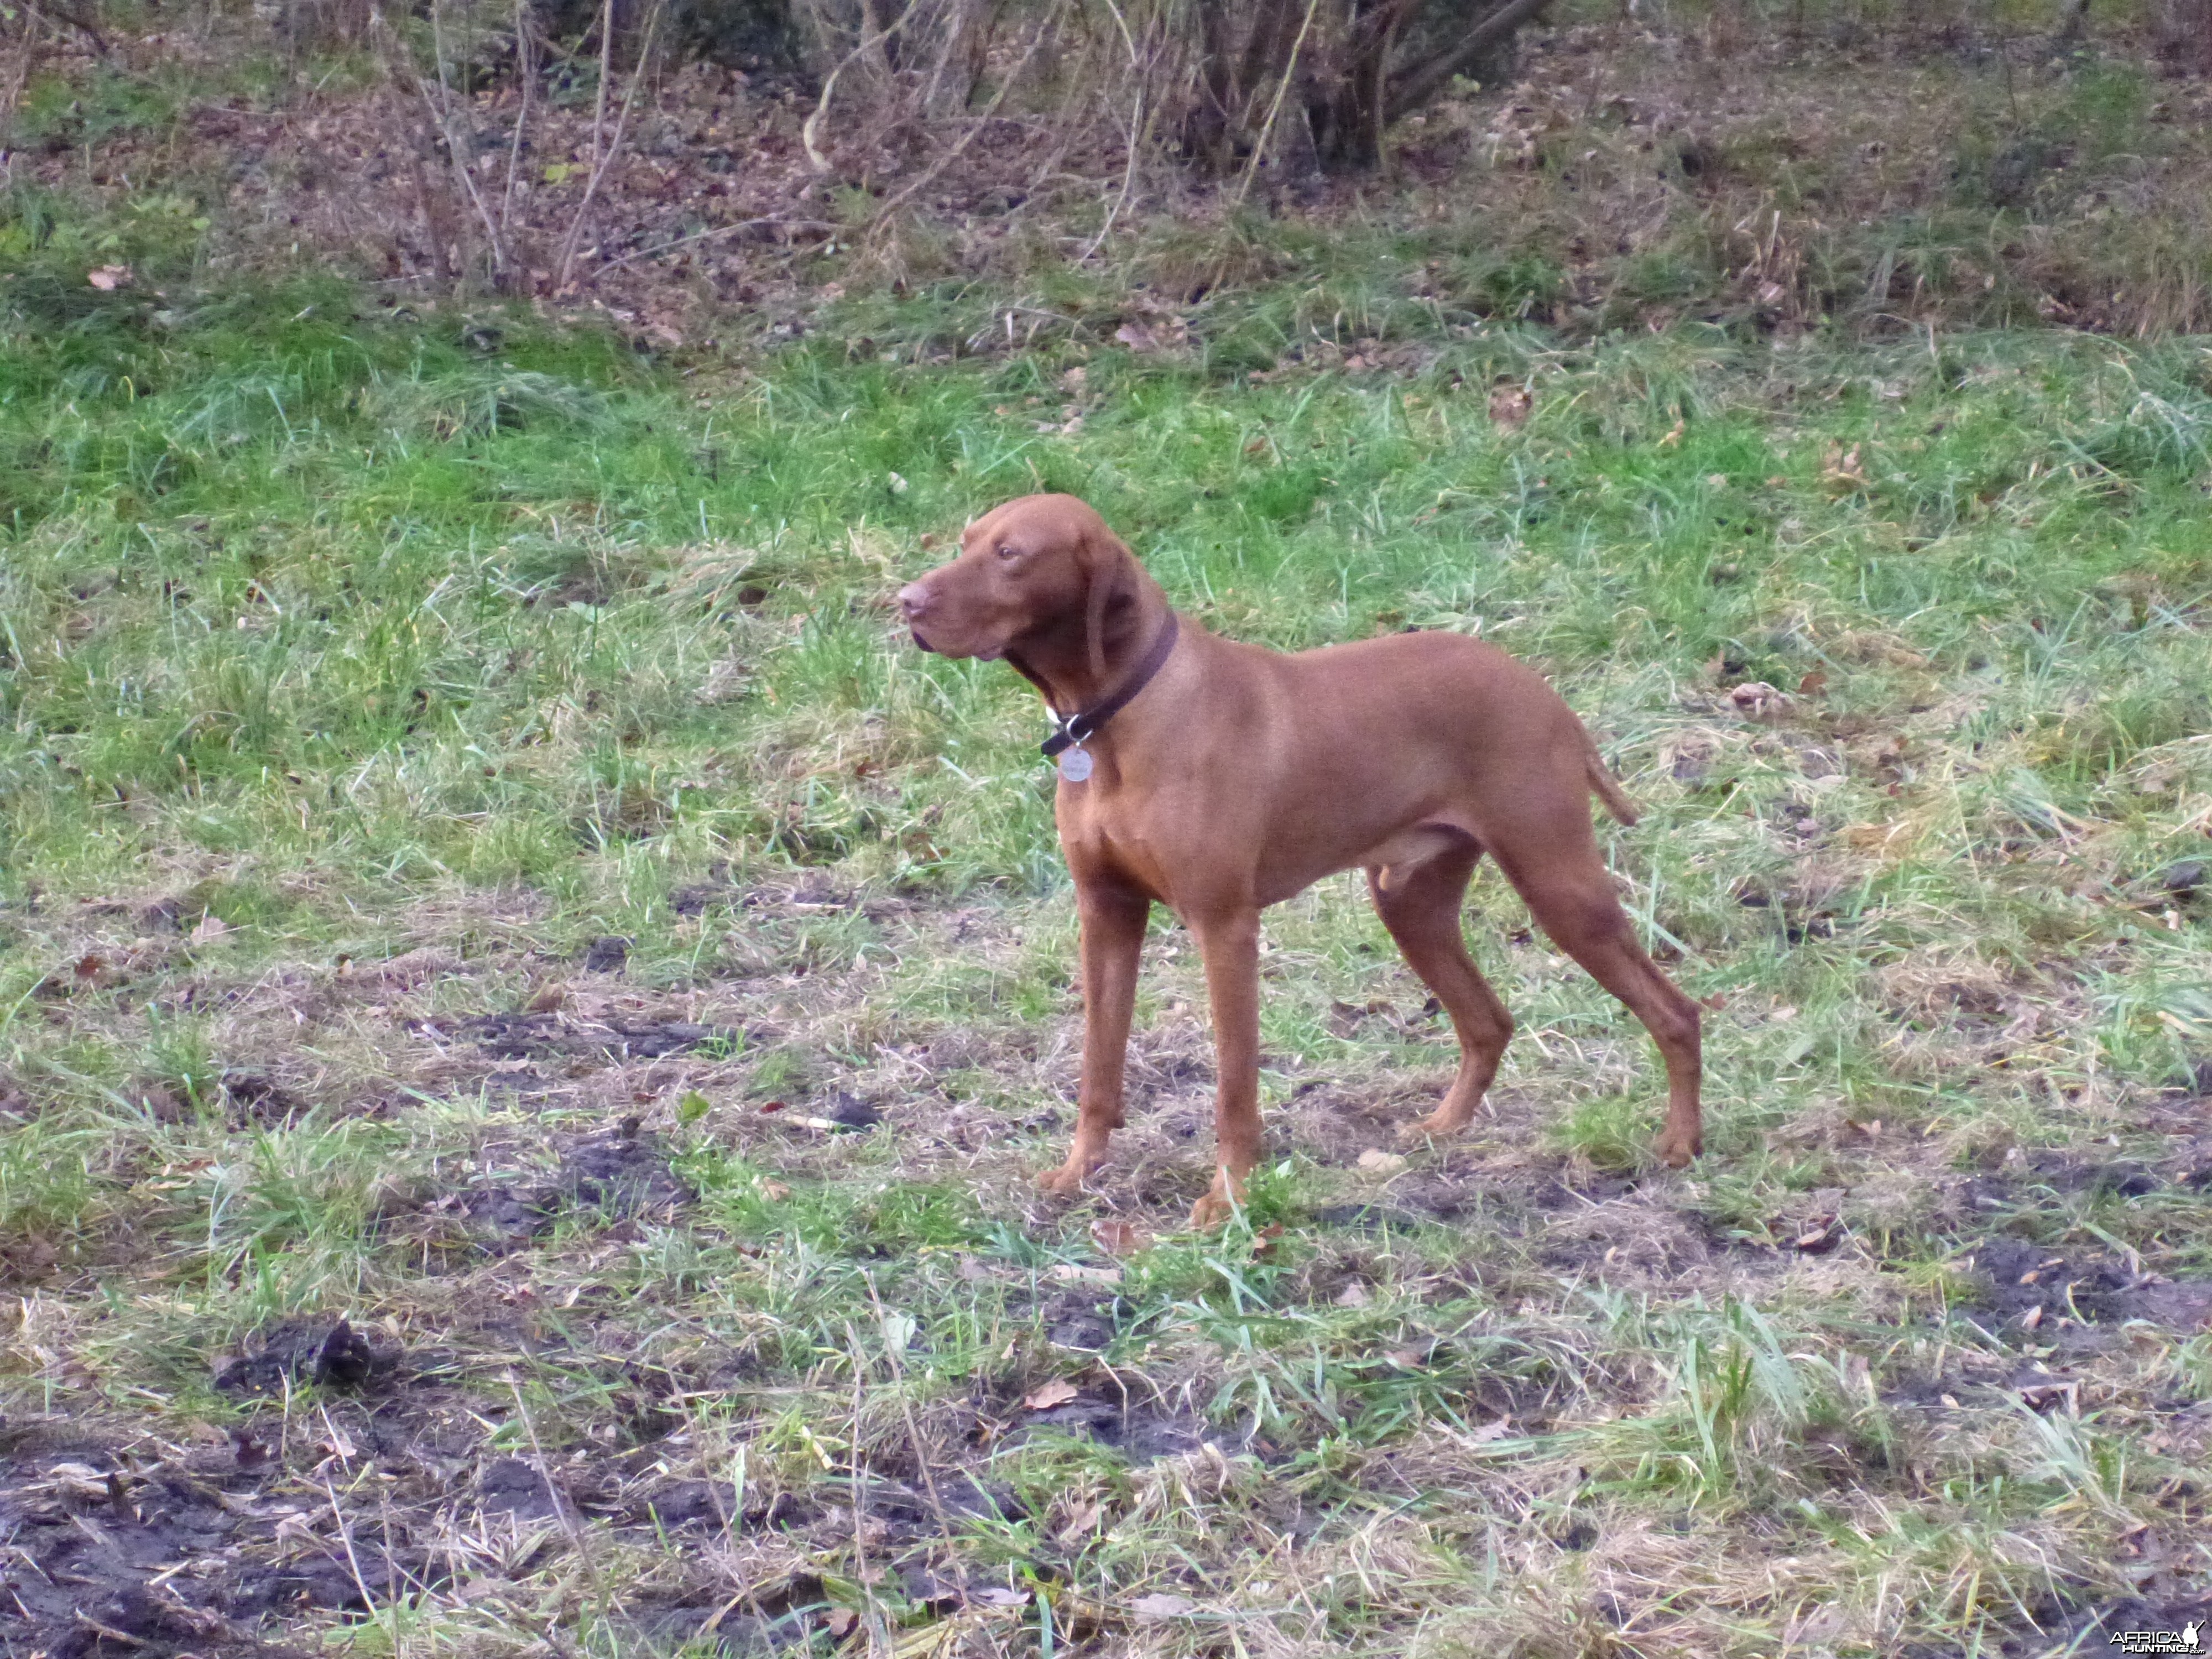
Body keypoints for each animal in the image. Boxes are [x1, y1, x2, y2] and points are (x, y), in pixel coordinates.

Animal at [898, 487, 1708, 1230]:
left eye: (1010, 554)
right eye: (966, 540)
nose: (903, 602)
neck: (1120, 722)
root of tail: (1541, 690)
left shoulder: (1224, 926)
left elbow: (1234, 1085)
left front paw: (1226, 1200)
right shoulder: (1106, 916)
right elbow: (1098, 1066)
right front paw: (1077, 1173)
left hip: (1558, 886)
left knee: (1676, 1012)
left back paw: (1680, 1145)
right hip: (1409, 902)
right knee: (1488, 1022)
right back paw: (1444, 1130)